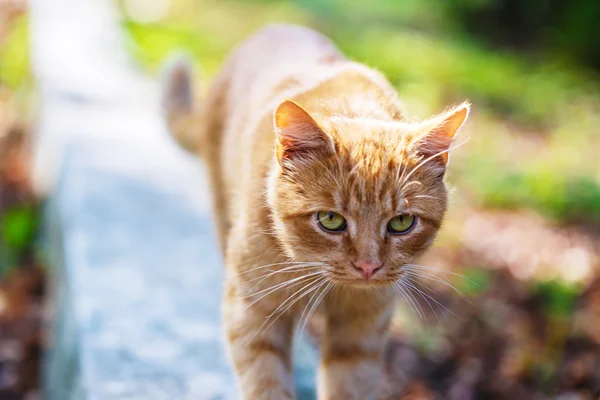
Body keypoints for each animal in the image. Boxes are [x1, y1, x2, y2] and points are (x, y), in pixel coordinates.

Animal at [162, 23, 472, 398]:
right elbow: (266, 383)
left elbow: (348, 385)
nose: (368, 267)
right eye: (331, 220)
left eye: (401, 222)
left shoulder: (364, 324)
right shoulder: (251, 310)